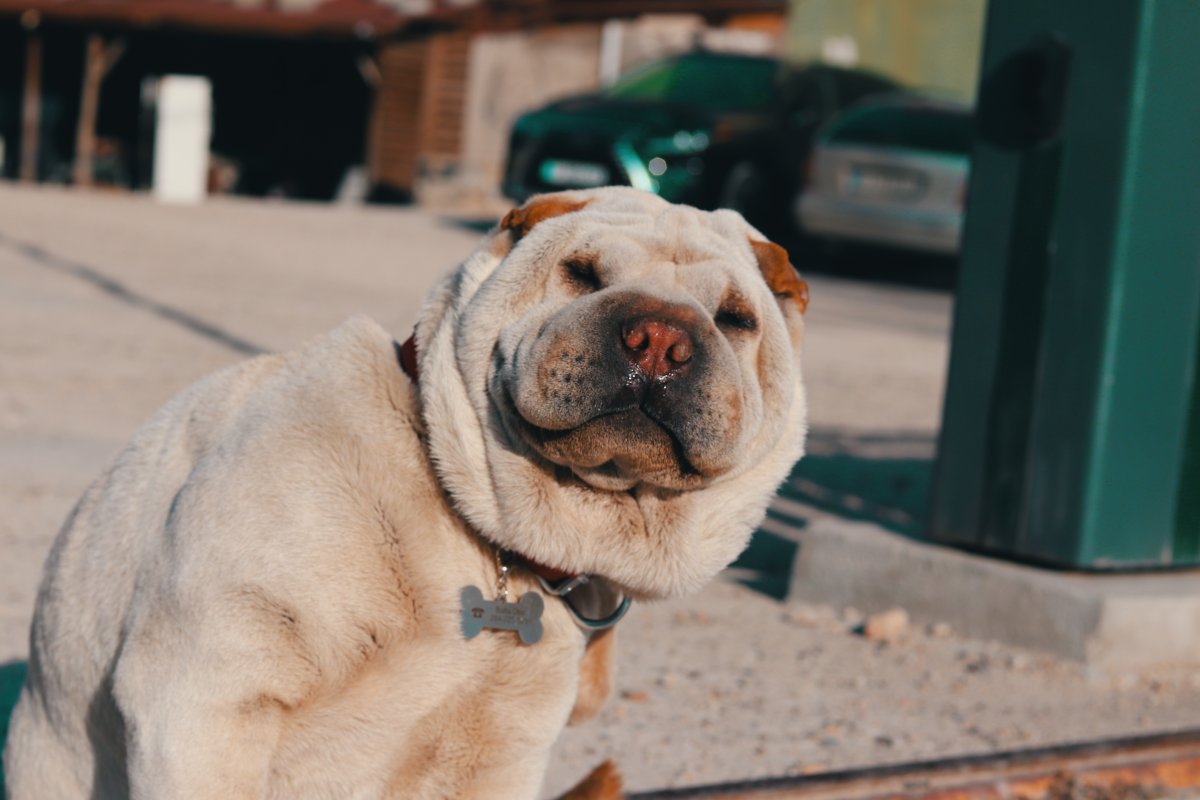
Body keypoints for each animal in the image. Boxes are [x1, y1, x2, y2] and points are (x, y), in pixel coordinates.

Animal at [4, 185, 806, 800]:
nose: (660, 339)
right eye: (581, 273)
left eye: (736, 319)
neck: (486, 539)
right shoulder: (203, 700)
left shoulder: (502, 754)